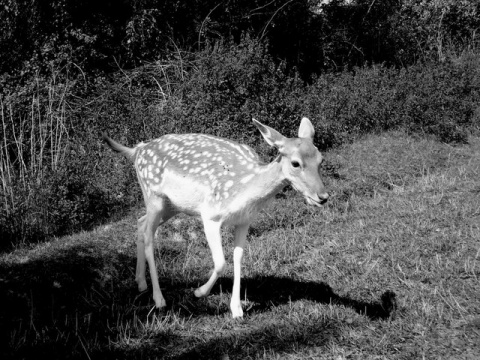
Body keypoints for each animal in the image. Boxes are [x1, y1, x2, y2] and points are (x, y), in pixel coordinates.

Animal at [102, 117, 328, 318]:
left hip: (171, 206)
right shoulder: (210, 215)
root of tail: (137, 150)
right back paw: (159, 299)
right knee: (149, 235)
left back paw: (140, 283)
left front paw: (236, 309)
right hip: (152, 195)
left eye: (320, 159)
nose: (323, 197)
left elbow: (238, 257)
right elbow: (220, 262)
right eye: (296, 163)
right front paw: (199, 292)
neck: (245, 189)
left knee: (140, 223)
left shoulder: (244, 221)